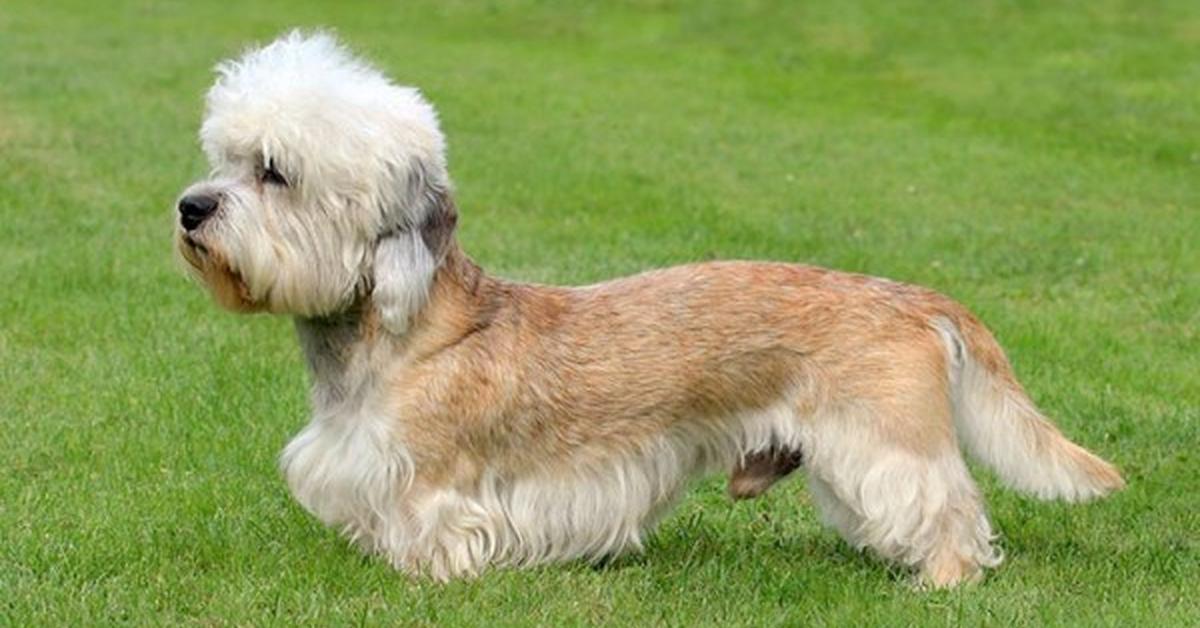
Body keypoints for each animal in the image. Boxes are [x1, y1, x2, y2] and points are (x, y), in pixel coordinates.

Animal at [174, 31, 1118, 588]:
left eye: (274, 172)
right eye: (222, 159)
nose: (190, 208)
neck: (396, 337)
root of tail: (915, 298)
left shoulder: (435, 484)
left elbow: (432, 531)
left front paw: (425, 574)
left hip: (887, 444)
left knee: (947, 506)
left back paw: (943, 579)